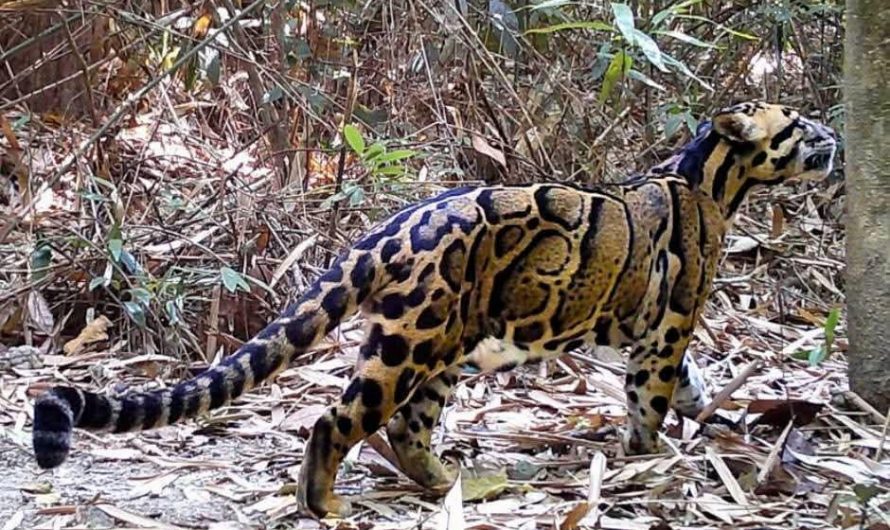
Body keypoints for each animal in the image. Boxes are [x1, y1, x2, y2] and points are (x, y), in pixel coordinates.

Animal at [32, 101, 837, 518]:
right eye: (798, 126)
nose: (833, 136)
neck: (711, 176)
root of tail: (387, 229)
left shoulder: (647, 331)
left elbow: (690, 385)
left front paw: (711, 423)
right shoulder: (668, 324)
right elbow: (654, 395)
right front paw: (649, 459)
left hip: (446, 344)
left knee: (408, 429)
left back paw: (450, 483)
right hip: (409, 342)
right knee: (336, 420)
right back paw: (325, 505)